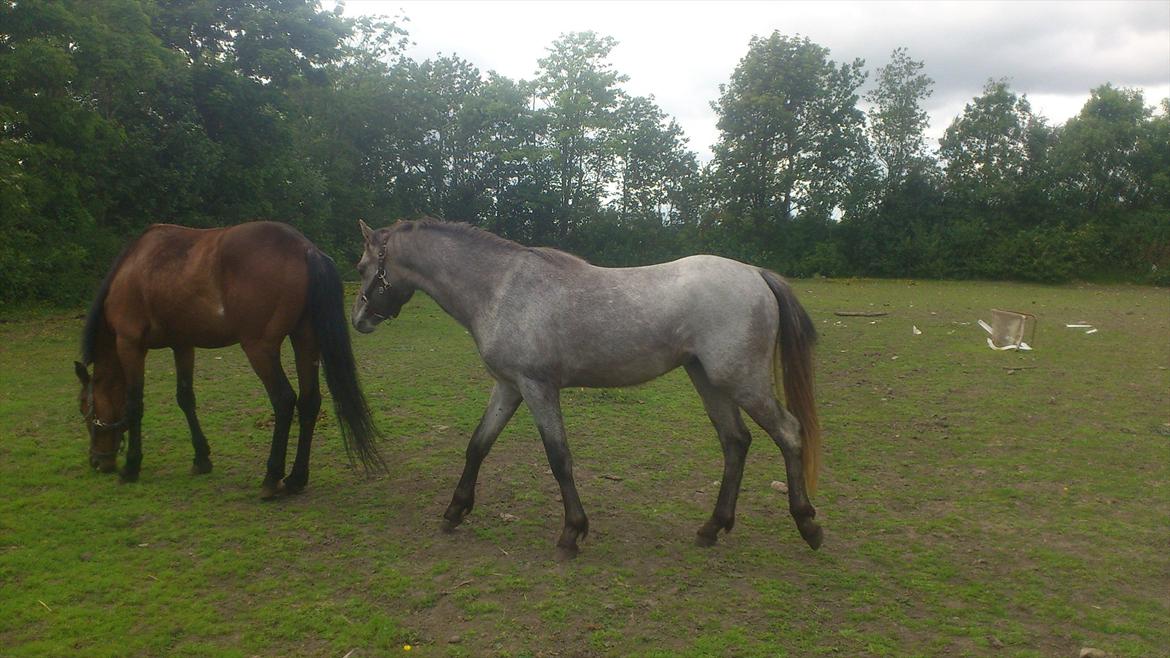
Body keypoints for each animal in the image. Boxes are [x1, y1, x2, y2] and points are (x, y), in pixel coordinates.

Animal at [75, 221, 384, 498]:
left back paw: (271, 477)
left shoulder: (129, 344)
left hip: (259, 348)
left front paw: (131, 467)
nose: (97, 461)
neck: (132, 269)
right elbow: (185, 398)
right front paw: (201, 458)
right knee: (309, 401)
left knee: (284, 400)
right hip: (305, 339)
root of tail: (305, 248)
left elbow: (134, 405)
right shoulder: (182, 345)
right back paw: (296, 479)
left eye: (85, 410)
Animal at [351, 218, 822, 558]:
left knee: (788, 433)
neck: (501, 289)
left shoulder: (538, 387)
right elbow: (478, 445)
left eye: (361, 268)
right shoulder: (508, 386)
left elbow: (559, 458)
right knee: (735, 441)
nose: (358, 320)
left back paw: (808, 525)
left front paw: (571, 533)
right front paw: (454, 511)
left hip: (741, 381)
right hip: (709, 380)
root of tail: (755, 274)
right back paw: (712, 528)